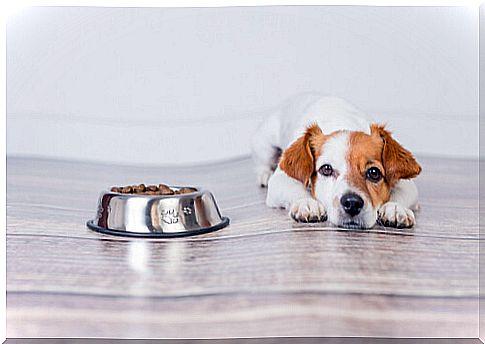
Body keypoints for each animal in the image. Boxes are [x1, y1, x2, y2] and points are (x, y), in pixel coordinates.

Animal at [251, 92, 422, 230]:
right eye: (326, 169)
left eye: (374, 172)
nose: (352, 203)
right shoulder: (280, 180)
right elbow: (295, 188)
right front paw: (307, 202)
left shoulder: (406, 184)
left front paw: (395, 208)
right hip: (266, 144)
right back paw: (264, 174)